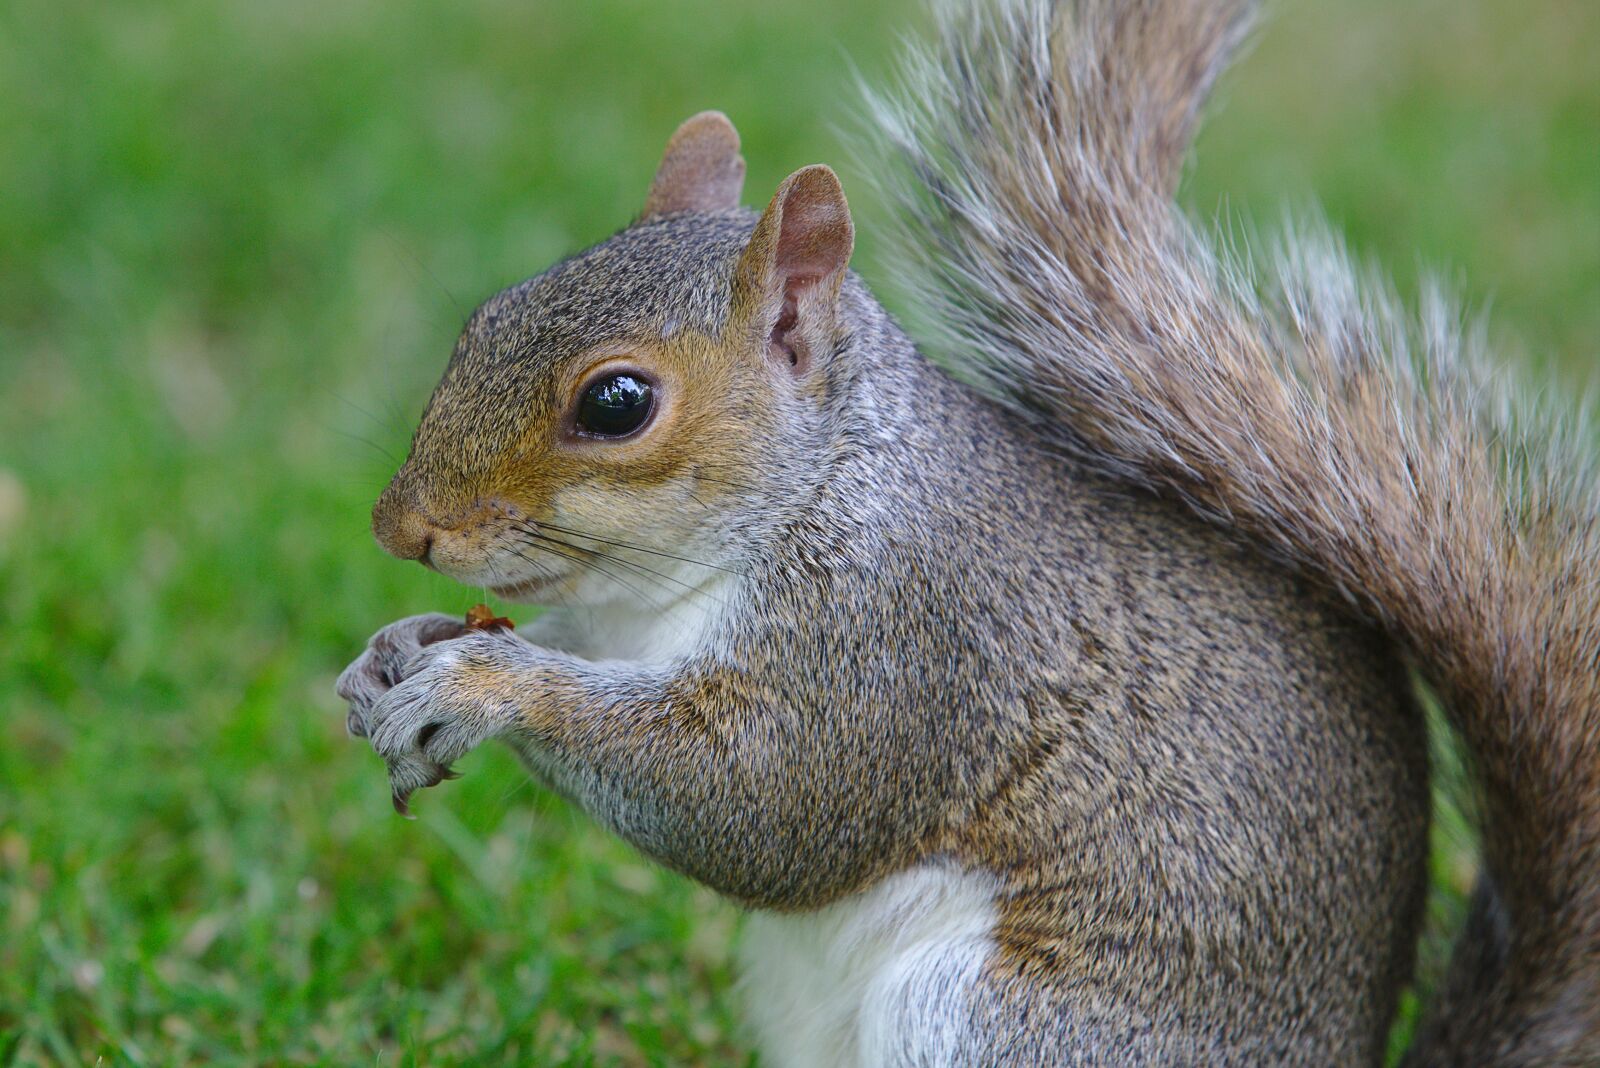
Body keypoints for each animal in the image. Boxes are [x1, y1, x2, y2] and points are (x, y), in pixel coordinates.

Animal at [335, 0, 1599, 1063]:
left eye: (617, 403)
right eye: (483, 317)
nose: (401, 530)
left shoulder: (905, 634)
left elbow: (760, 803)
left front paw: (485, 686)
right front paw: (396, 651)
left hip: (993, 1021)